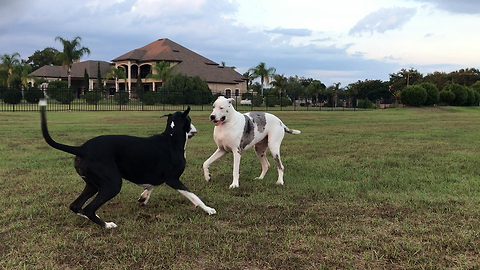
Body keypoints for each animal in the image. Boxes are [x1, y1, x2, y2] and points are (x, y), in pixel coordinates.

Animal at [39, 100, 216, 229]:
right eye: (189, 120)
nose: (195, 129)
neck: (171, 138)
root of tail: (81, 148)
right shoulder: (173, 180)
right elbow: (194, 196)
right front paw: (208, 209)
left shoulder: (156, 176)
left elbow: (151, 186)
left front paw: (144, 197)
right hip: (113, 184)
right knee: (89, 208)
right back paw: (107, 225)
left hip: (93, 185)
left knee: (77, 206)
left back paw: (88, 216)